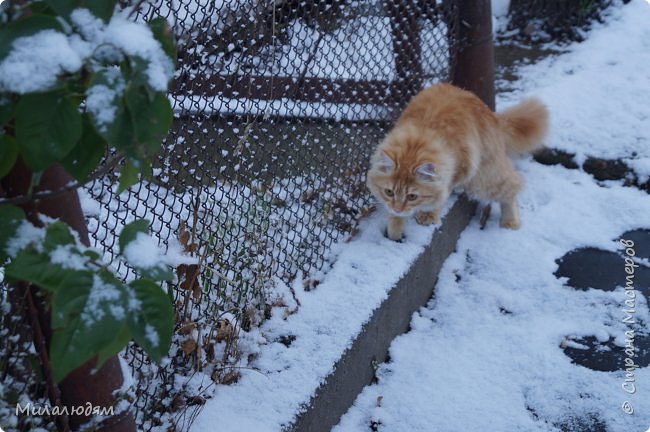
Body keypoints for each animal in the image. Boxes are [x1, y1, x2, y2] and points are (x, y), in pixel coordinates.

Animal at [368, 82, 544, 241]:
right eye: (389, 192)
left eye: (412, 196)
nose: (397, 209)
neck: (415, 145)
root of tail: (493, 115)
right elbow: (395, 217)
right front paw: (394, 231)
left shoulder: (460, 169)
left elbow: (440, 195)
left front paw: (428, 215)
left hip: (484, 179)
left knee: (513, 186)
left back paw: (510, 222)